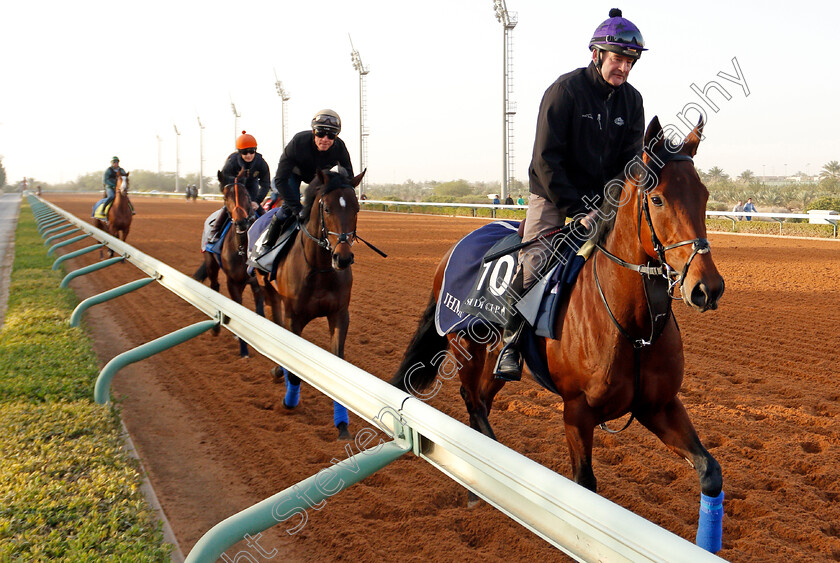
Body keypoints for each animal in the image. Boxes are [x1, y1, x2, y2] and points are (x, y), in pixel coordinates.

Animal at [192, 170, 264, 360]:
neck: (243, 248)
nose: (241, 222)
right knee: (215, 287)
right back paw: (217, 329)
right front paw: (244, 350)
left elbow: (260, 312)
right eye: (225, 197)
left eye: (246, 194)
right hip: (211, 263)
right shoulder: (233, 283)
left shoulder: (258, 284)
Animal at [262, 167, 368, 440]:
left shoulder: (339, 314)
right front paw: (289, 403)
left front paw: (342, 424)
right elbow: (294, 367)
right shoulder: (294, 317)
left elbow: (337, 363)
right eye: (327, 208)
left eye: (356, 208)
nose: (343, 258)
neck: (319, 267)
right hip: (266, 288)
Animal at [390, 117, 724, 552]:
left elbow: (709, 470)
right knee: (471, 400)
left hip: (496, 360)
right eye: (658, 199)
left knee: (482, 400)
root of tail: (455, 248)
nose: (707, 288)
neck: (634, 329)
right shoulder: (577, 412)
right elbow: (585, 486)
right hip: (465, 345)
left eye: (703, 195)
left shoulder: (660, 405)